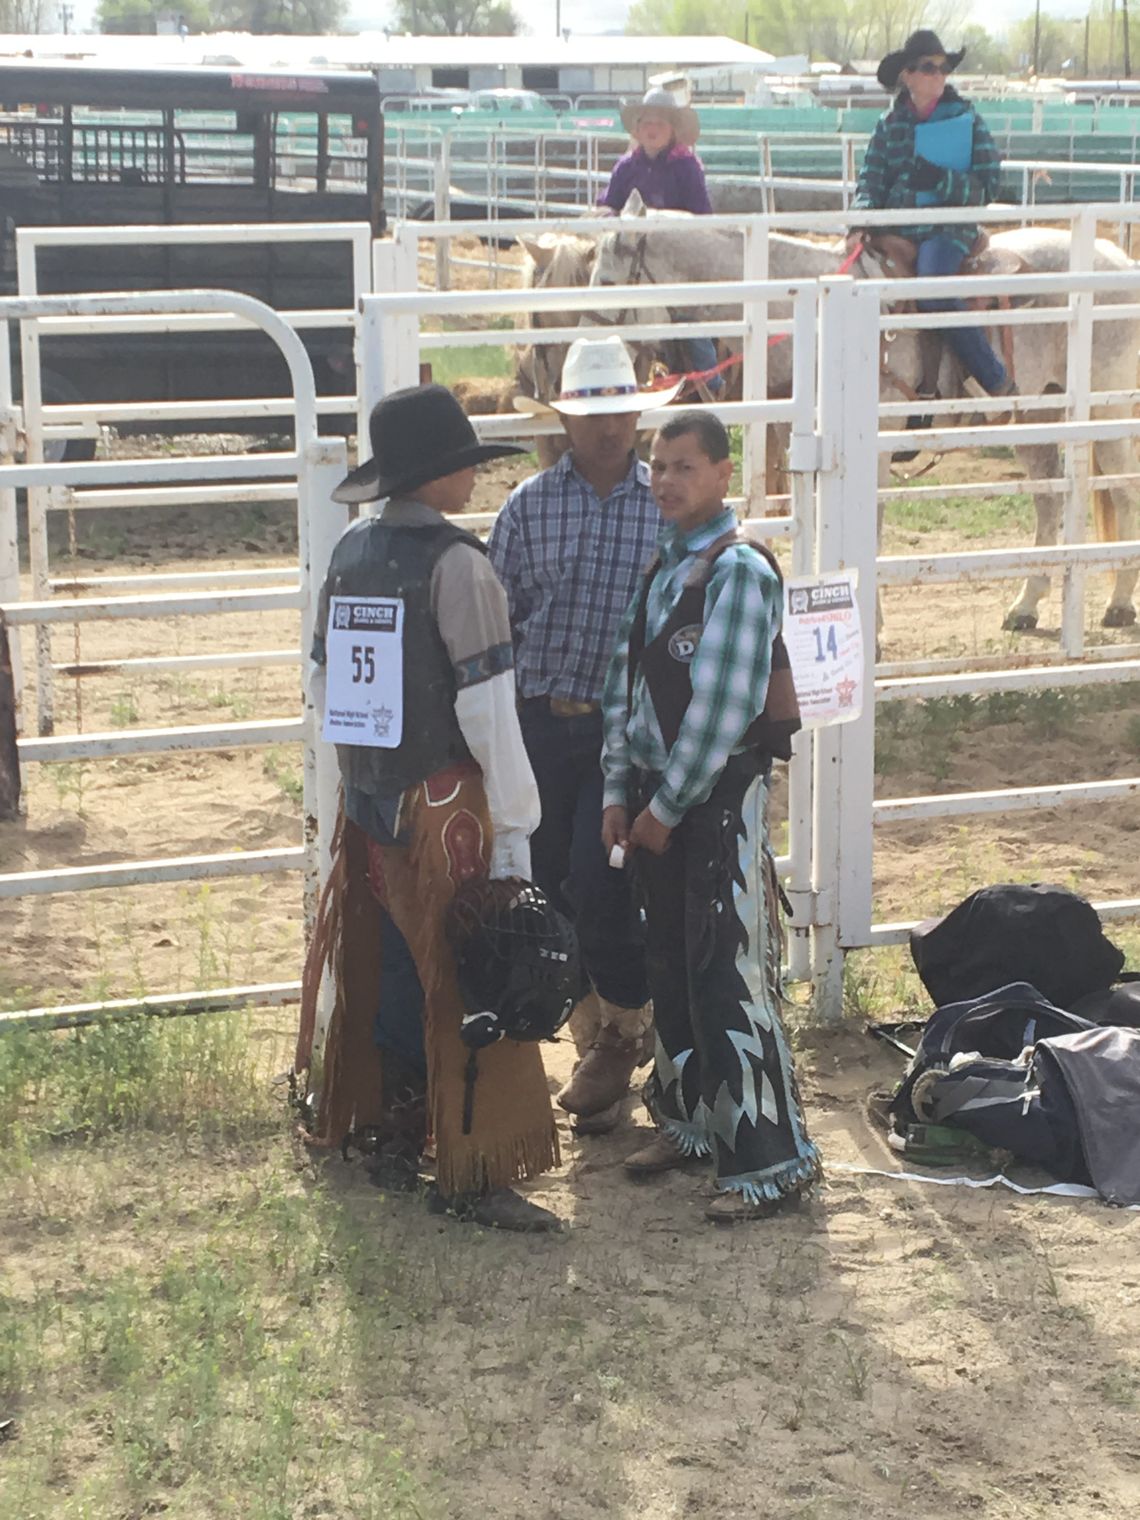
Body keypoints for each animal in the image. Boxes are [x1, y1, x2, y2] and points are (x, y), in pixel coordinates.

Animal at [589, 193, 1140, 632]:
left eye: (611, 282)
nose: (595, 361)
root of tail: (1117, 258)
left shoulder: (870, 451)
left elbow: (866, 533)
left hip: (1105, 412)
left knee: (1122, 492)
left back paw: (1117, 603)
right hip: (1033, 417)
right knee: (1049, 500)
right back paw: (1026, 604)